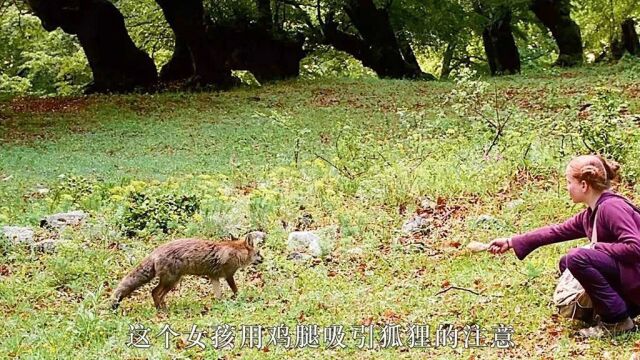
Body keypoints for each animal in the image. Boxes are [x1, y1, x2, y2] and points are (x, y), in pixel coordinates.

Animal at [111, 232, 264, 310]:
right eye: (258, 252)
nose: (263, 259)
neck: (237, 252)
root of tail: (155, 252)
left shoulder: (214, 277)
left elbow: (218, 295)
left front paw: (220, 305)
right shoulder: (228, 275)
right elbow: (235, 290)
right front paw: (241, 299)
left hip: (171, 282)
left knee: (156, 294)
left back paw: (162, 308)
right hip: (171, 281)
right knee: (155, 292)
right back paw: (162, 310)